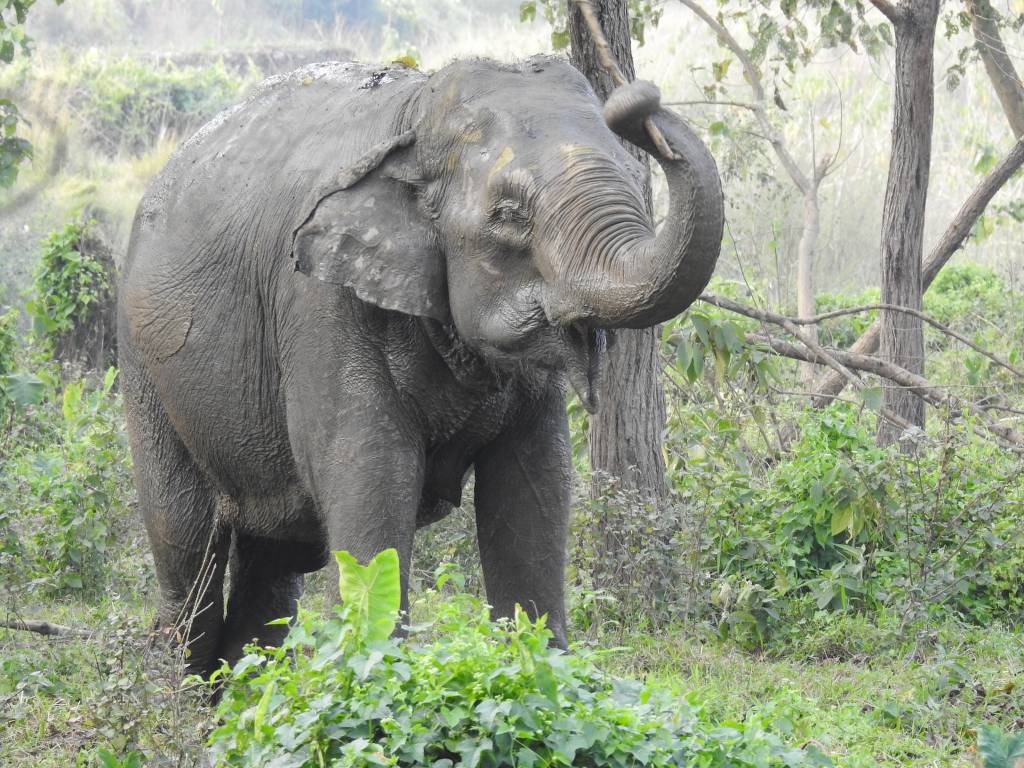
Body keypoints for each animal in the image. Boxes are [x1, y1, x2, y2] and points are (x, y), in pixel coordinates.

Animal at [118, 55, 723, 675]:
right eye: (509, 216)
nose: (636, 102)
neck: (414, 119)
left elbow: (535, 484)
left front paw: (541, 669)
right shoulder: (320, 304)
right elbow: (372, 474)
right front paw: (373, 678)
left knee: (274, 568)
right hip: (146, 373)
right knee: (188, 552)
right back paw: (179, 688)